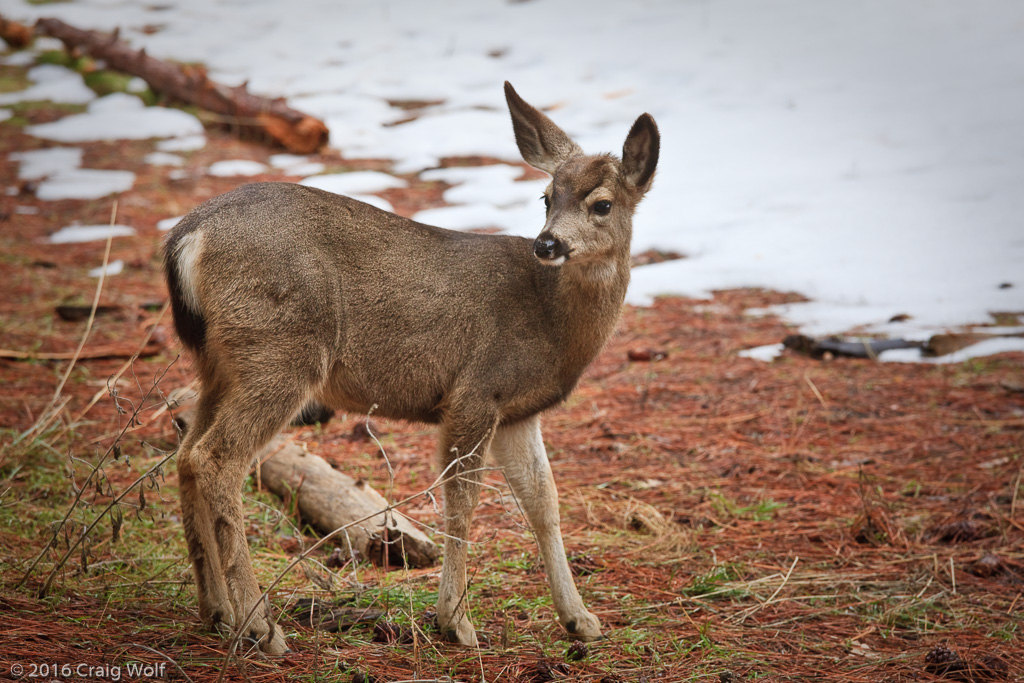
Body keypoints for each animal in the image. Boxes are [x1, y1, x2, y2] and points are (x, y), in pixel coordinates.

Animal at [163, 82, 659, 655]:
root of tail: (188, 237)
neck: (553, 323)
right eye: (546, 198)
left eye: (601, 204)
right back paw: (260, 625)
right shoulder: (476, 390)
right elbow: (462, 501)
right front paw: (457, 620)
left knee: (186, 453)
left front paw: (579, 619)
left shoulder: (517, 411)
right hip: (280, 352)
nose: (548, 243)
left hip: (220, 361)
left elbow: (543, 500)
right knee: (217, 456)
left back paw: (216, 611)